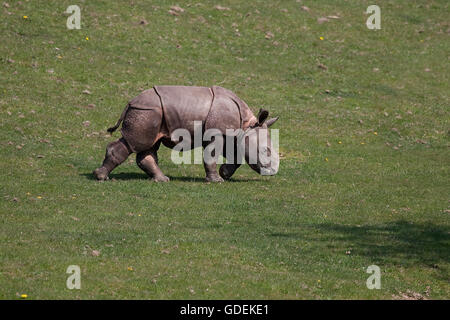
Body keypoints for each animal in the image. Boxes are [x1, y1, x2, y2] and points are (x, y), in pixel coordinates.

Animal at [92, 85, 278, 182]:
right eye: (265, 151)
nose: (272, 171)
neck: (247, 124)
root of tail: (130, 102)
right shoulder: (218, 132)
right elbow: (211, 156)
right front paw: (216, 181)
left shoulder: (230, 134)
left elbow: (235, 156)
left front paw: (224, 173)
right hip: (146, 112)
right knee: (136, 143)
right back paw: (101, 177)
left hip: (151, 113)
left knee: (149, 146)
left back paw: (162, 180)